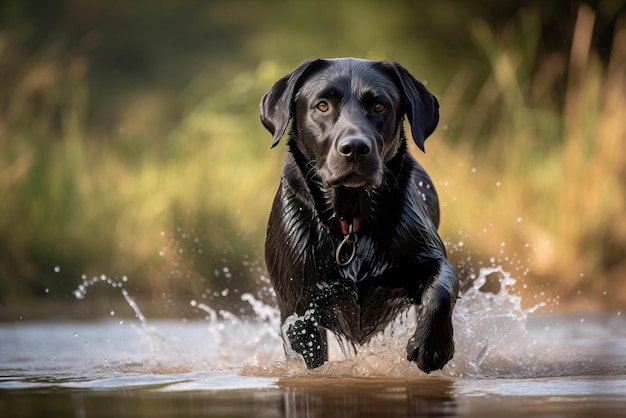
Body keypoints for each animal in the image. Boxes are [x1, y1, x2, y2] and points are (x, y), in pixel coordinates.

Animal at [258, 58, 458, 372]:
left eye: (379, 106)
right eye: (322, 106)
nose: (354, 148)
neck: (350, 222)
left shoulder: (428, 254)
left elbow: (443, 285)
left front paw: (432, 346)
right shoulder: (298, 306)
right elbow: (309, 355)